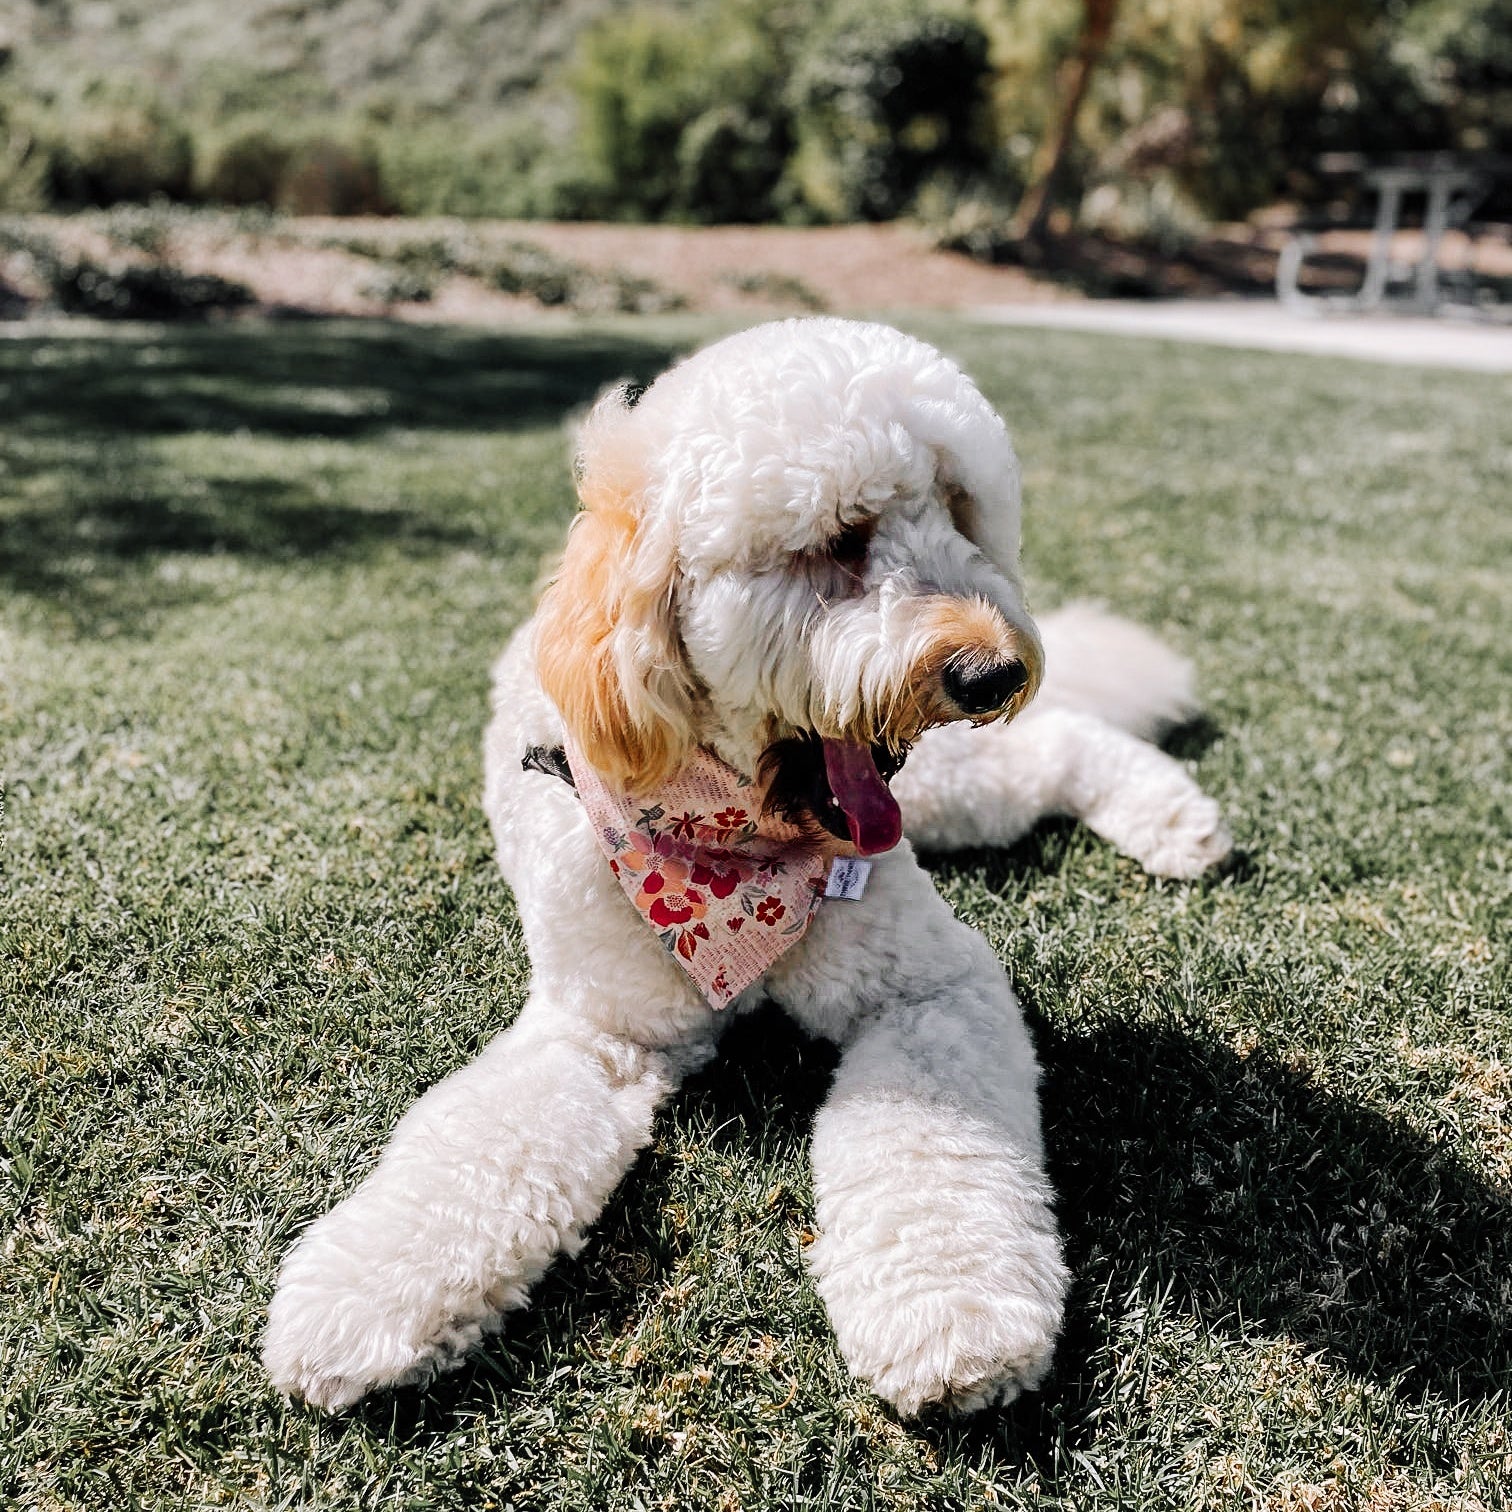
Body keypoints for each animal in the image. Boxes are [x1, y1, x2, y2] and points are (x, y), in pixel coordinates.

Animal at [260, 316, 1227, 1415]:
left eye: (960, 512)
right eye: (840, 540)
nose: (992, 671)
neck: (729, 860)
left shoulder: (931, 983)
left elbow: (934, 1148)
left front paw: (952, 1309)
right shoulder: (596, 1028)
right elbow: (474, 1149)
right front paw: (362, 1297)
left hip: (947, 788)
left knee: (1056, 742)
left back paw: (1173, 818)